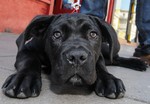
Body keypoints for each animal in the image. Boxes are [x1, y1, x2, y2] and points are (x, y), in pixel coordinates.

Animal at [1, 13, 146, 98]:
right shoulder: (26, 50)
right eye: (57, 34)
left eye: (93, 34)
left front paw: (109, 80)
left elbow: (100, 66)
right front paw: (24, 79)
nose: (76, 57)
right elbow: (30, 61)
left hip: (106, 50)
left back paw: (138, 63)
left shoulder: (98, 56)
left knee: (115, 58)